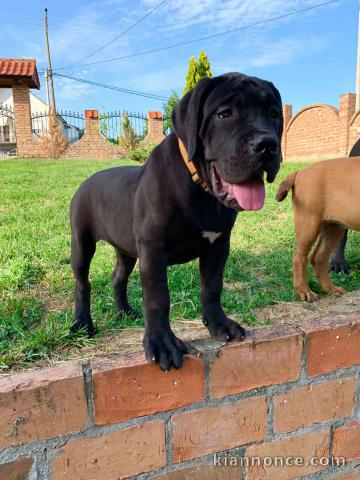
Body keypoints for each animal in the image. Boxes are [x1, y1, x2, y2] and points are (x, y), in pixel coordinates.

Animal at [70, 72, 282, 372]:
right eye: (224, 113)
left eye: (274, 114)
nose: (267, 145)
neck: (200, 188)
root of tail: (87, 181)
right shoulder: (153, 250)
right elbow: (158, 298)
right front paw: (162, 344)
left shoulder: (219, 245)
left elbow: (212, 286)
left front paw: (219, 324)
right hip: (82, 242)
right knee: (82, 283)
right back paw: (82, 323)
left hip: (126, 250)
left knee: (118, 278)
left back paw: (125, 312)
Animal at [278, 158, 358, 300]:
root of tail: (300, 171)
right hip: (309, 224)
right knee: (299, 257)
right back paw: (304, 291)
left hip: (333, 227)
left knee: (319, 258)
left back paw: (330, 289)